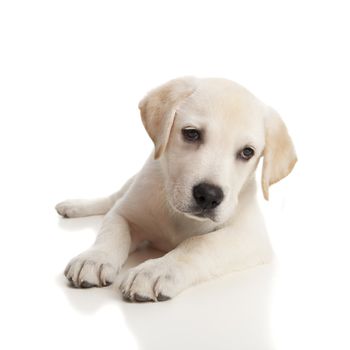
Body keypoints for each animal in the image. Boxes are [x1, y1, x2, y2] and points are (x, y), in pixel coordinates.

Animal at [56, 76, 296, 300]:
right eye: (191, 133)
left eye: (247, 152)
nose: (208, 195)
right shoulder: (124, 213)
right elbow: (112, 232)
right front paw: (95, 258)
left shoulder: (250, 236)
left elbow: (199, 243)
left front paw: (156, 271)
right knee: (110, 200)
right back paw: (73, 206)